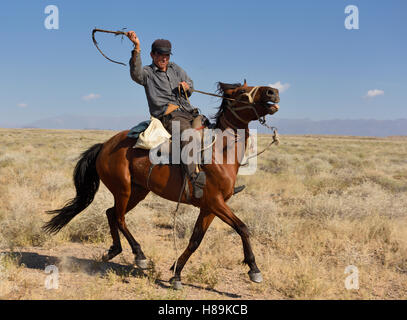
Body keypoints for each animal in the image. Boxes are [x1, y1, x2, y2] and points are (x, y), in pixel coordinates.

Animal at [43, 81, 280, 288]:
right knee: (119, 217)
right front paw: (254, 269)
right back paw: (139, 255)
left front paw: (176, 273)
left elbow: (195, 240)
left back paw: (113, 251)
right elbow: (243, 228)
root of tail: (104, 145)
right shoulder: (215, 202)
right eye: (242, 92)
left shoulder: (209, 208)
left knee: (111, 213)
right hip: (123, 189)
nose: (273, 91)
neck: (218, 153)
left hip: (138, 192)